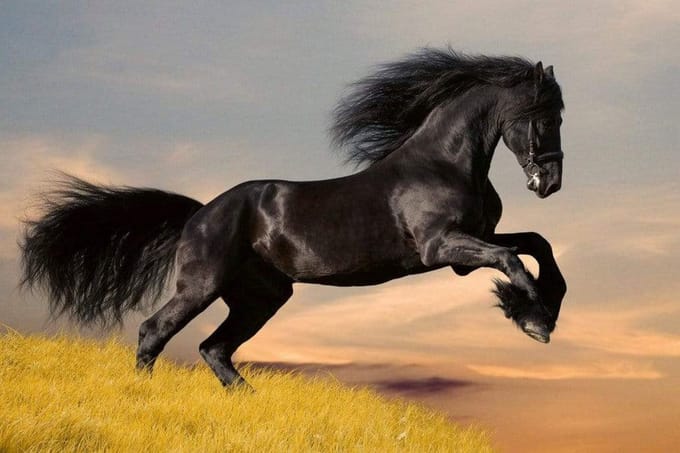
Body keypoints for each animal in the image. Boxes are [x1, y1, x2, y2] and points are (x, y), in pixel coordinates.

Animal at [20, 48, 567, 389]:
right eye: (544, 116)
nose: (550, 183)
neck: (444, 162)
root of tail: (200, 213)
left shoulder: (470, 245)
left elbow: (536, 244)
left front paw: (542, 308)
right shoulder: (442, 248)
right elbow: (512, 260)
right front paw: (533, 319)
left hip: (261, 296)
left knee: (214, 348)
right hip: (202, 285)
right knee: (155, 332)